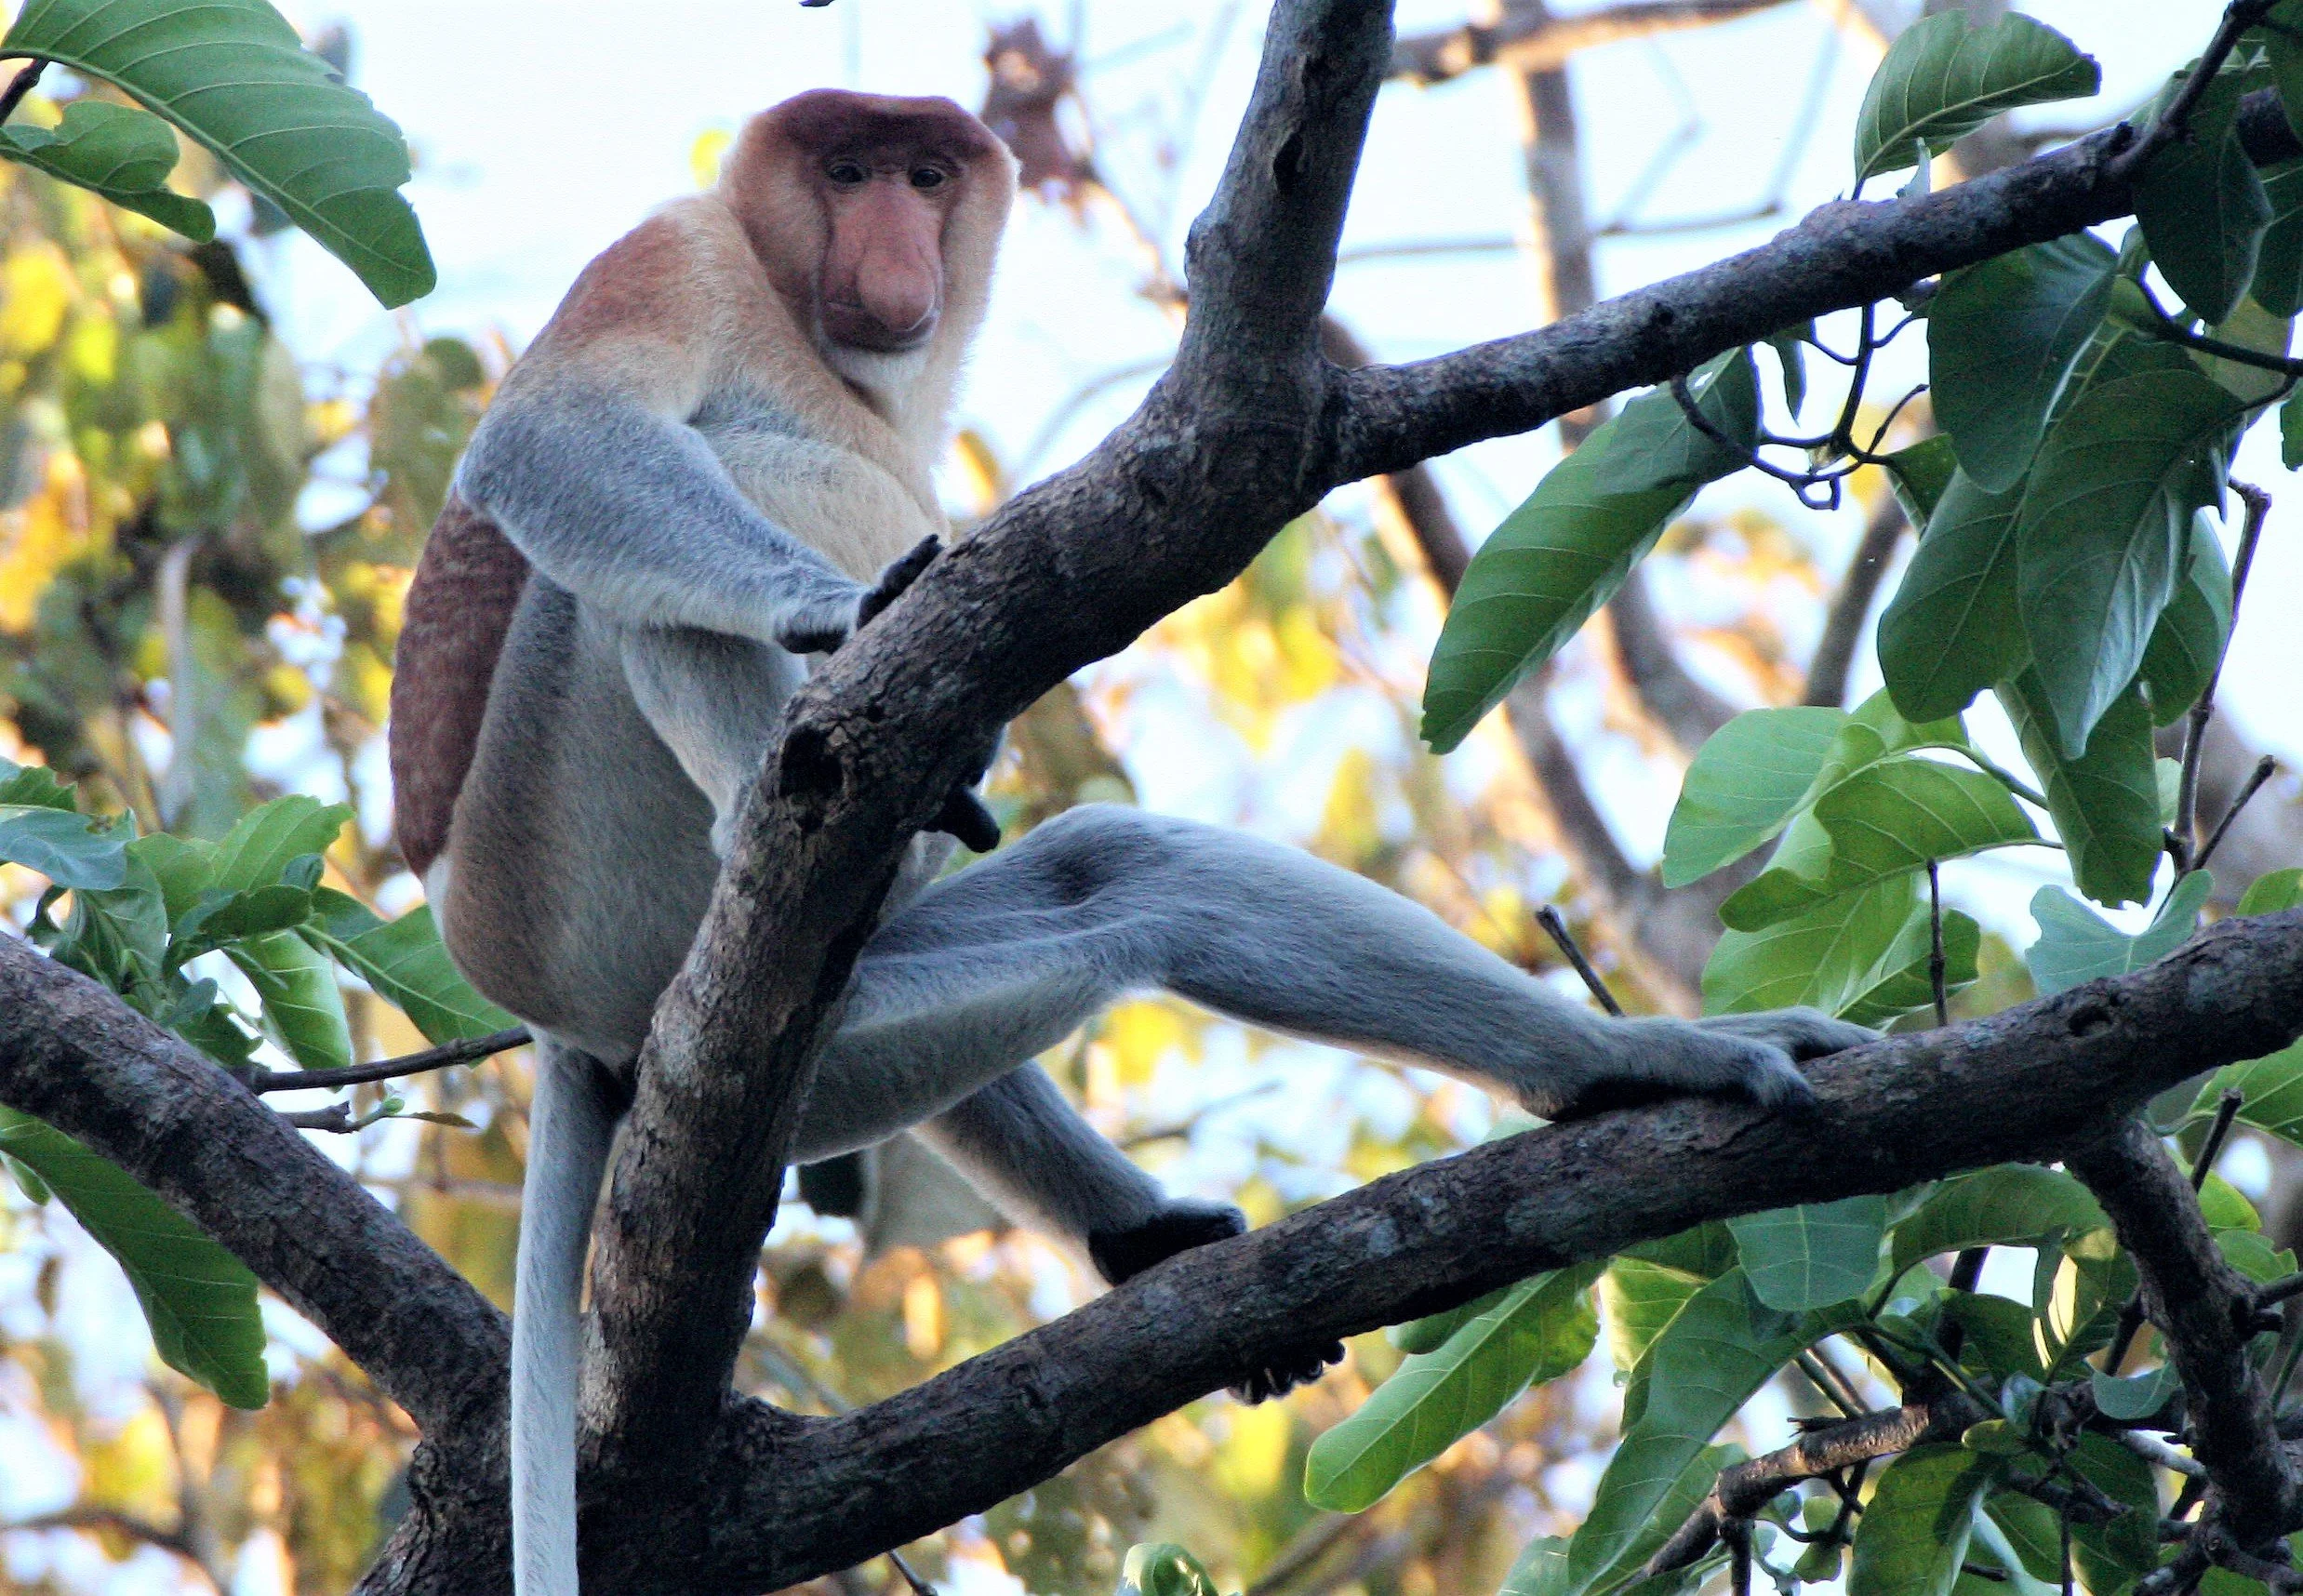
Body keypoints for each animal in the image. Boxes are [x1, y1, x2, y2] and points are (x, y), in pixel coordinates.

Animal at [386, 89, 1874, 1596]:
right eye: (847, 172)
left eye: (926, 176)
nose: (894, 250)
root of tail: (562, 1024)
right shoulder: (678, 252)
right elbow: (557, 434)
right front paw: (837, 609)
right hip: (575, 869)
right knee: (659, 550)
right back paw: (769, 804)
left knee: (1125, 875)